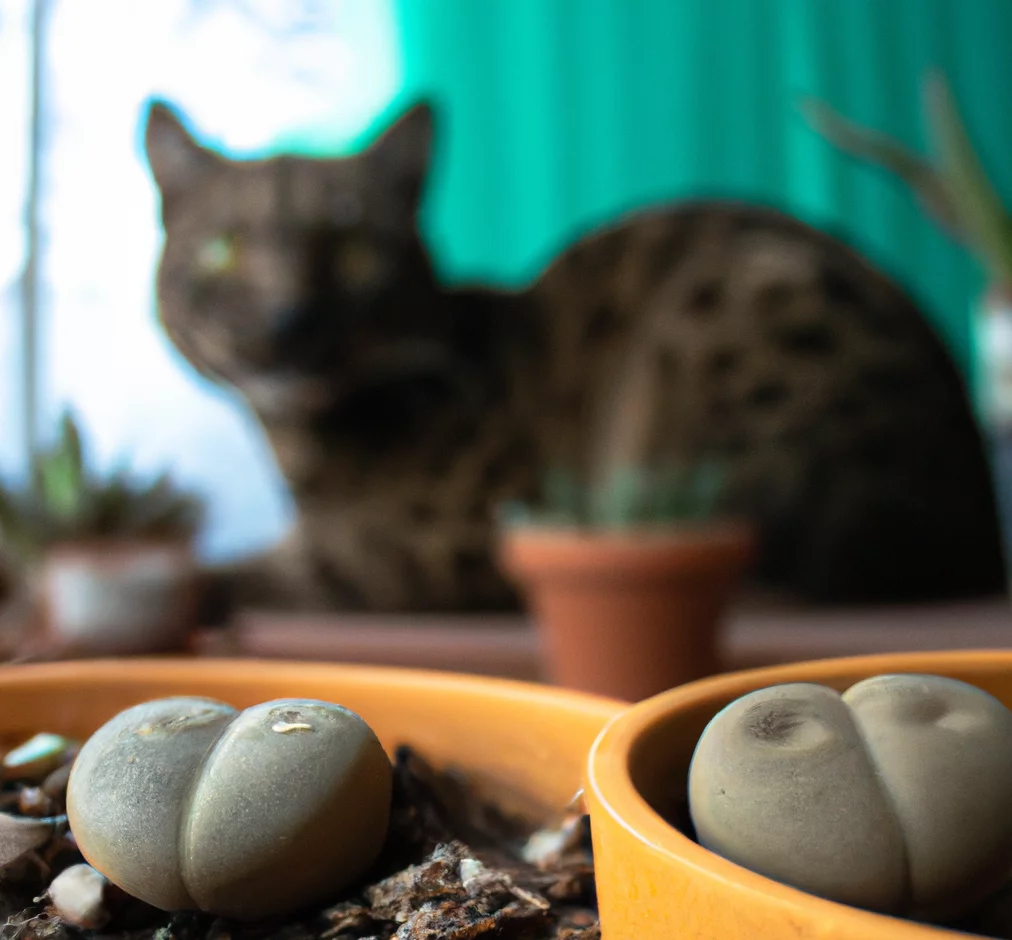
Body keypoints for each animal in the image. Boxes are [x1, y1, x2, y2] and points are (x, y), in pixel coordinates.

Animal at [140, 95, 1003, 607]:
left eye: (354, 251)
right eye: (223, 250)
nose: (288, 321)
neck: (306, 452)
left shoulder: (447, 548)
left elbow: (259, 568)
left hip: (732, 307)